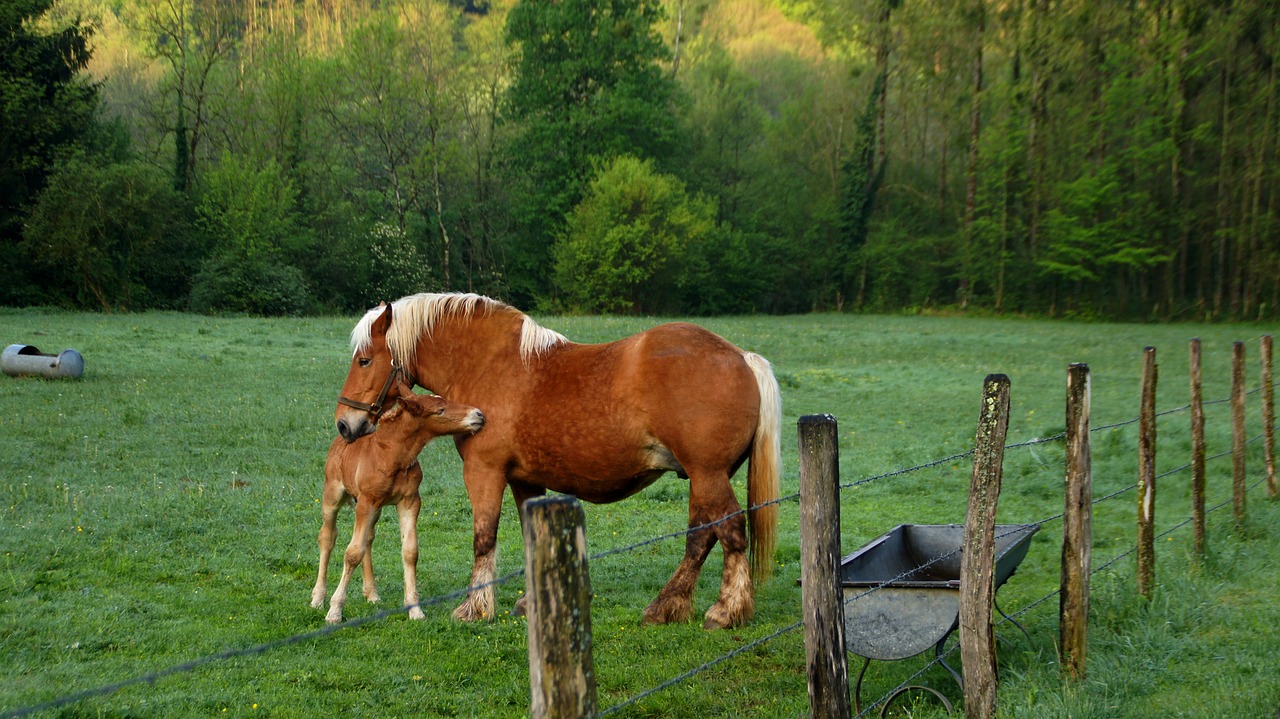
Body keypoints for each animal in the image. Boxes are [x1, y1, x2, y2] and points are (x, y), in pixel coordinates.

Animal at [332, 291, 778, 626]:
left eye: (365, 360)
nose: (344, 424)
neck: (489, 364)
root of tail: (742, 357)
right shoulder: (525, 480)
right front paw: (531, 601)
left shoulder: (484, 472)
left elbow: (483, 539)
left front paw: (475, 608)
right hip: (704, 478)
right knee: (701, 538)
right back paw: (668, 606)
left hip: (708, 475)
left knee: (729, 531)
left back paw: (725, 610)